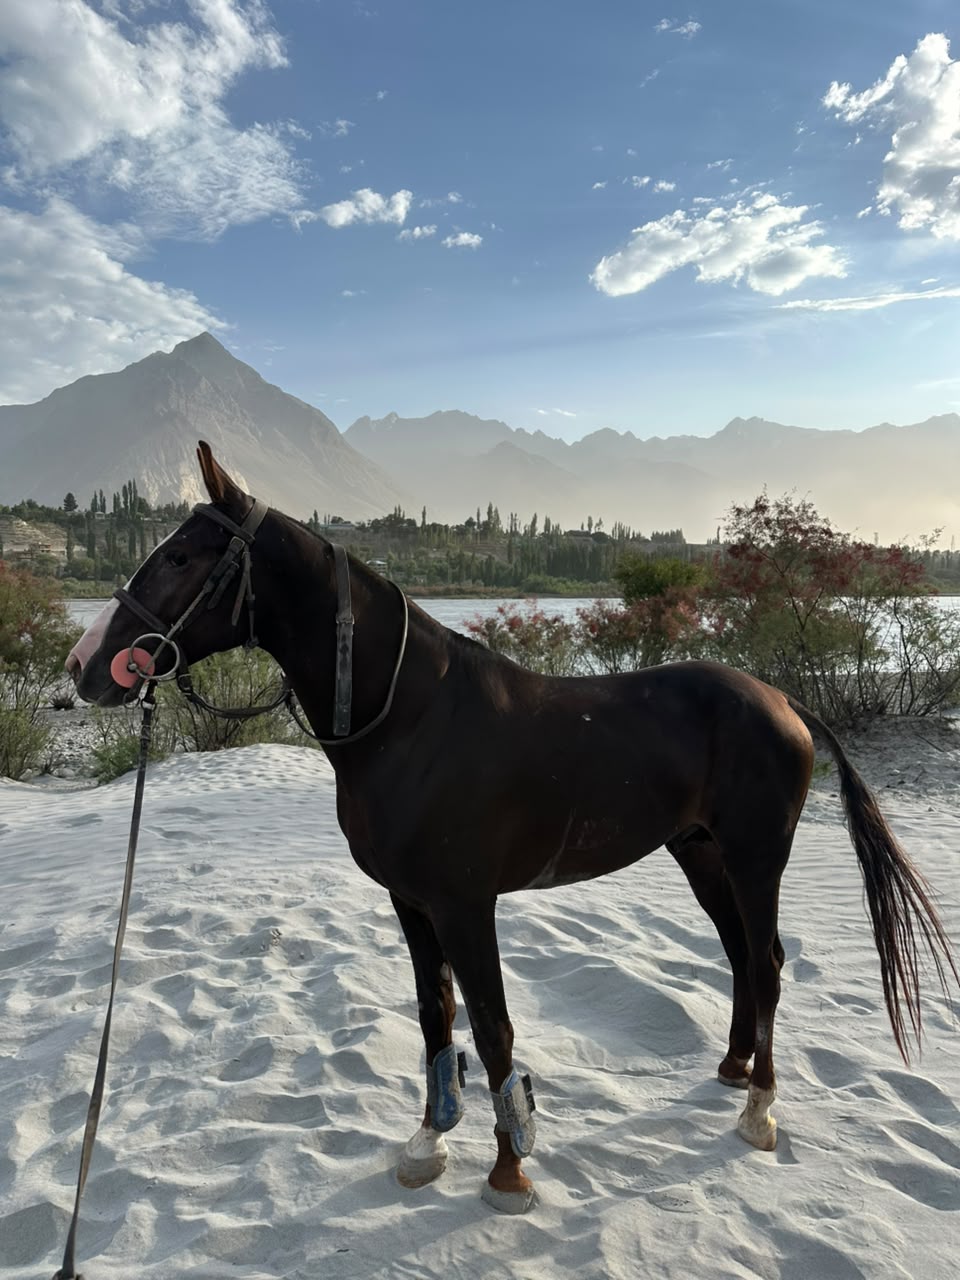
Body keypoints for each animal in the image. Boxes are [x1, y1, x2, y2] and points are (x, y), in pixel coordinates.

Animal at [66, 441, 957, 1214]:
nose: (85, 665)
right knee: (741, 956)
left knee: (766, 963)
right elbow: (436, 1015)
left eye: (182, 557)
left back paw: (761, 1110)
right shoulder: (412, 903)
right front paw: (429, 1142)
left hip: (753, 857)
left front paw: (508, 1172)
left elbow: (493, 1029)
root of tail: (780, 700)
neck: (409, 718)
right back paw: (735, 1069)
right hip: (701, 855)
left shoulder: (466, 907)